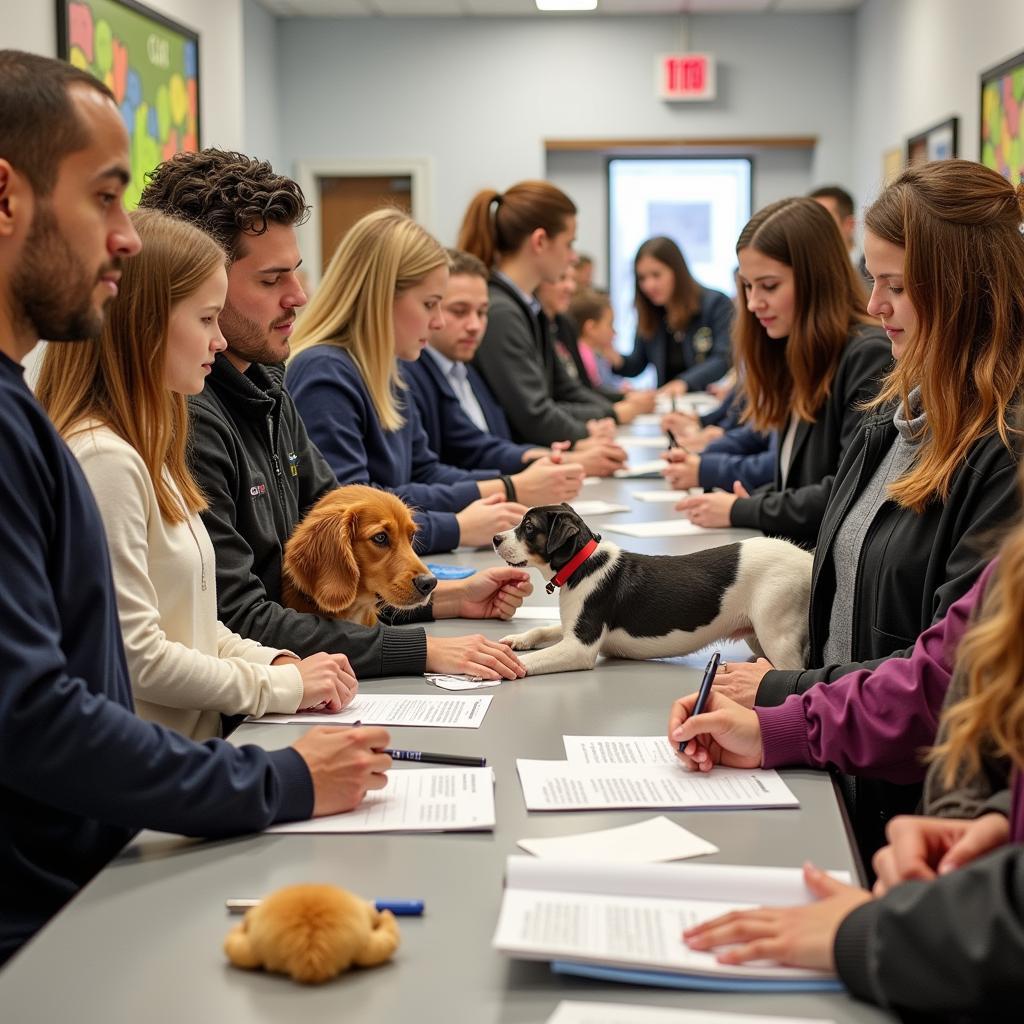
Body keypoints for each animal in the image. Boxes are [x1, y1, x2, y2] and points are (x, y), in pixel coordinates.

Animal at [491, 505, 811, 679]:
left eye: (528, 527)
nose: (495, 538)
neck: (582, 564)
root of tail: (806, 559)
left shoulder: (579, 646)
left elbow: (529, 660)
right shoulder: (573, 628)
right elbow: (543, 629)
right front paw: (519, 639)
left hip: (777, 636)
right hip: (757, 636)